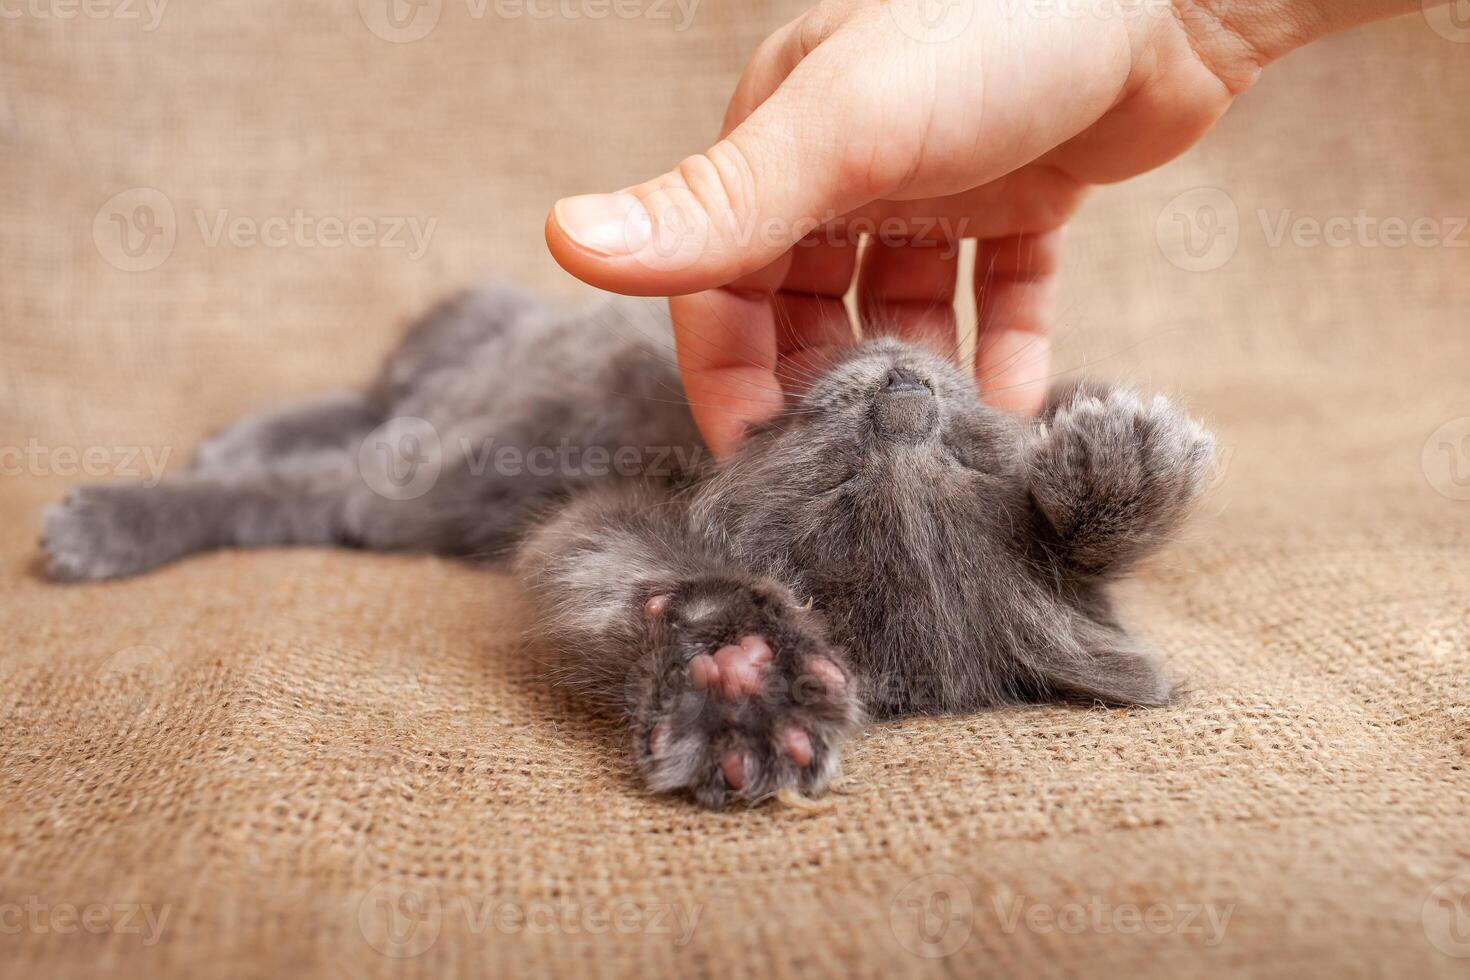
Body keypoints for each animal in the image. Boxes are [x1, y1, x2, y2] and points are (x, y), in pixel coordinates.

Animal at [45, 279, 1217, 811]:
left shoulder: (553, 514)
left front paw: (743, 681)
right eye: (972, 454)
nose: (903, 394)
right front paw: (1126, 462)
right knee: (378, 390)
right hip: (464, 320)